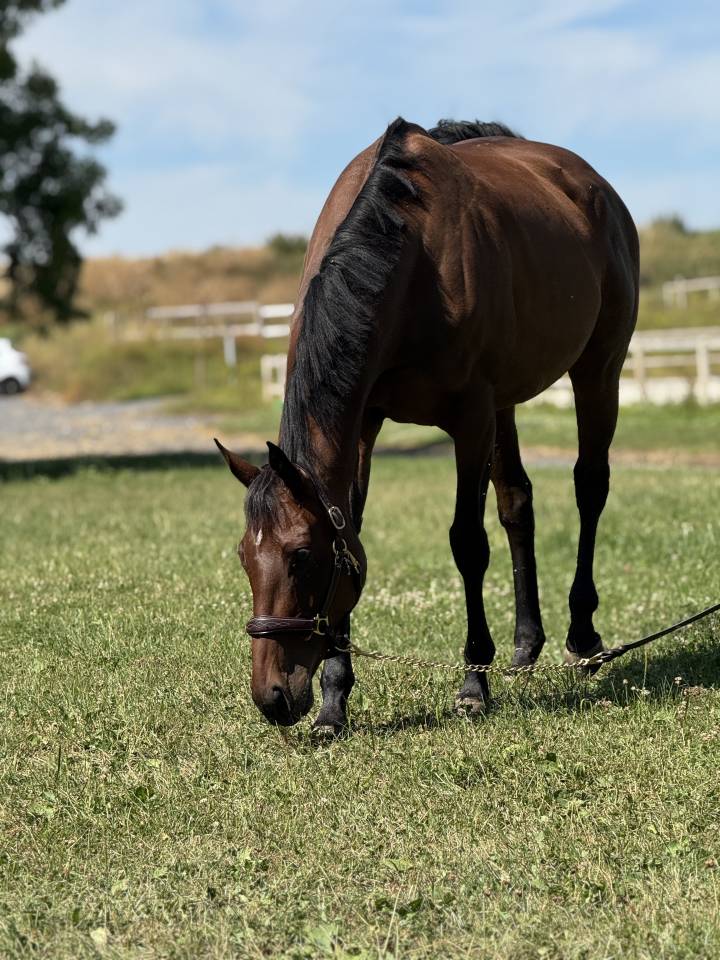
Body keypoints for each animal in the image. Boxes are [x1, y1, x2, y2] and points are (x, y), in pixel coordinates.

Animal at [216, 117, 639, 730]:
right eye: (245, 558)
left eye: (301, 557)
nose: (273, 698)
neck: (410, 260)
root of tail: (593, 185)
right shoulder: (365, 424)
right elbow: (354, 530)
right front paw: (334, 701)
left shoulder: (470, 420)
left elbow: (468, 543)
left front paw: (473, 683)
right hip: (507, 403)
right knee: (517, 502)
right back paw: (525, 645)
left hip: (598, 370)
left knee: (590, 487)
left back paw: (582, 638)